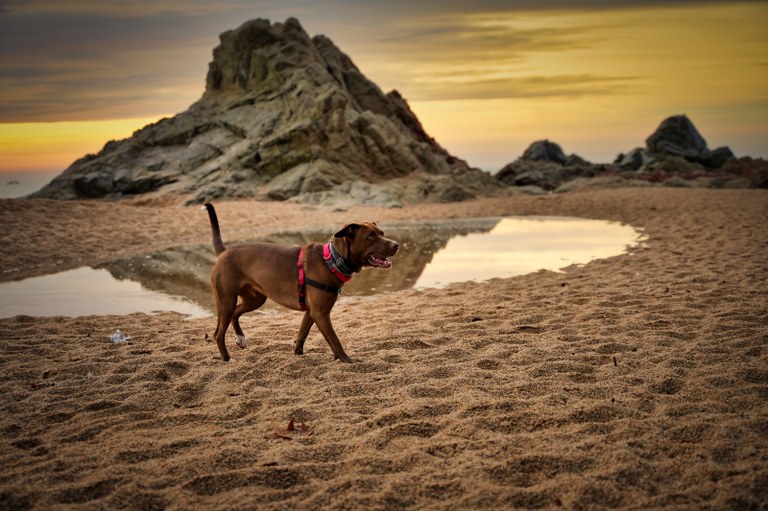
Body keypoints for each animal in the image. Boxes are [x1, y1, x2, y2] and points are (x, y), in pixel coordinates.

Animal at [201, 202, 400, 362]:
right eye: (371, 237)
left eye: (382, 233)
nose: (397, 245)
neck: (332, 260)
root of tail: (224, 251)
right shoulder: (321, 313)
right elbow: (334, 340)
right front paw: (346, 360)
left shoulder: (312, 312)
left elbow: (302, 334)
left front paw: (299, 354)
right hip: (226, 300)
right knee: (218, 333)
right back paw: (227, 359)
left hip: (255, 299)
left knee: (236, 313)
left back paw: (240, 338)